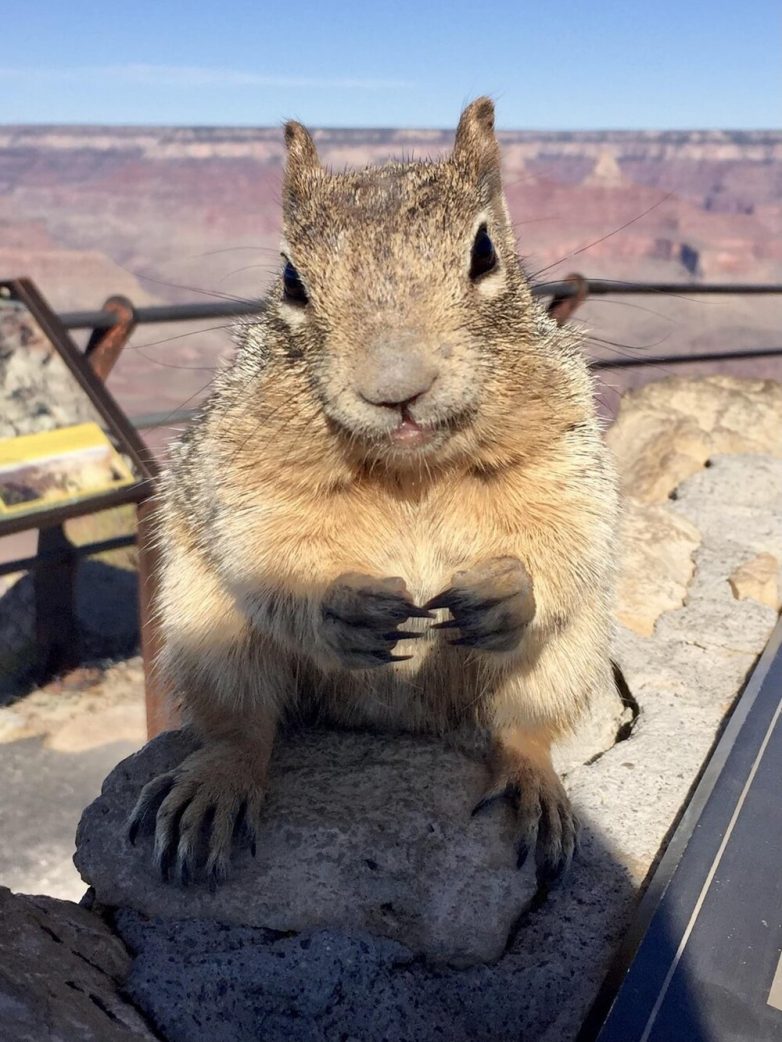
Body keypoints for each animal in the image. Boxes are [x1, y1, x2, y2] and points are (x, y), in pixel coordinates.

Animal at [128, 99, 617, 887]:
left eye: (485, 252)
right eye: (291, 279)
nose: (396, 389)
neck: (409, 471)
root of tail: (394, 720)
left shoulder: (565, 451)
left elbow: (570, 530)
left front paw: (507, 591)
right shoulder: (241, 472)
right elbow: (261, 547)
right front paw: (340, 606)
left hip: (568, 658)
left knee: (523, 728)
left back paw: (532, 784)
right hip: (206, 632)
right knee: (242, 727)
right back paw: (214, 787)